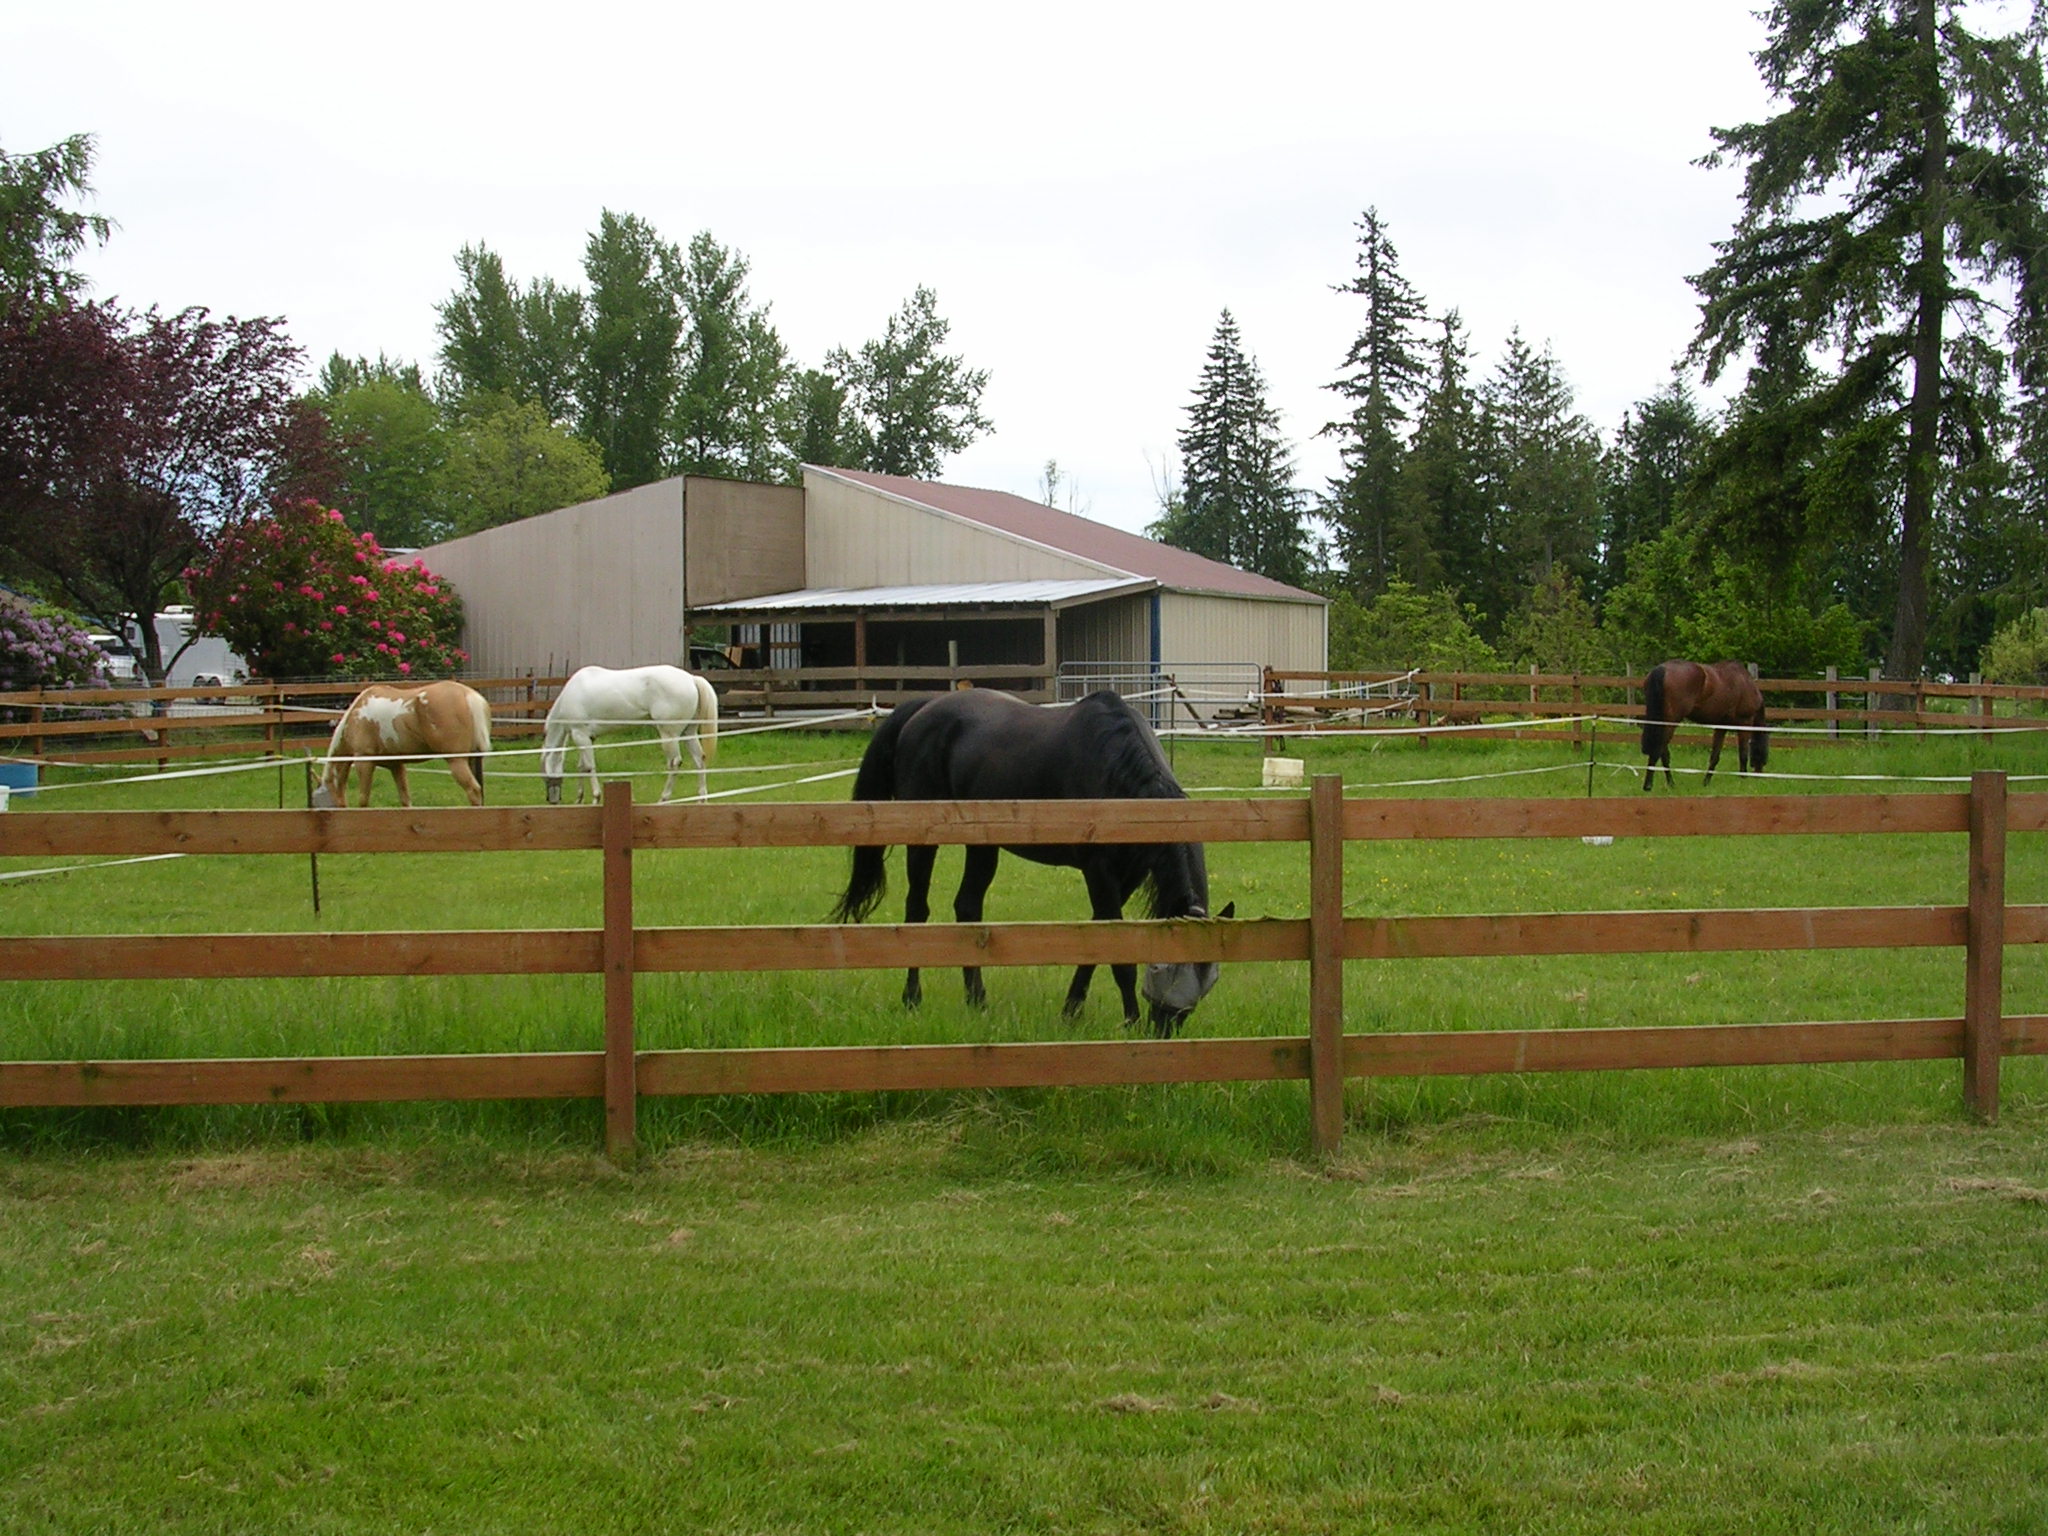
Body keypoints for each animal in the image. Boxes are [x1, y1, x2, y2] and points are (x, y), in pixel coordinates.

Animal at [311, 684, 495, 811]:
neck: (355, 716)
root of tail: (467, 695)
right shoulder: (396, 765)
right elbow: (405, 800)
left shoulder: (364, 762)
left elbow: (363, 800)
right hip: (473, 760)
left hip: (456, 761)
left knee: (473, 790)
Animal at [536, 663, 720, 806]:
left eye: (544, 776)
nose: (552, 800)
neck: (571, 695)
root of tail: (691, 679)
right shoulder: (588, 737)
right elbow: (581, 767)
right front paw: (579, 798)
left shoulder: (580, 735)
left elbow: (589, 767)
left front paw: (596, 797)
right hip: (689, 733)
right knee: (699, 759)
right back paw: (702, 799)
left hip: (669, 734)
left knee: (674, 763)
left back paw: (663, 799)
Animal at [819, 692, 1228, 1040]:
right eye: (1168, 970)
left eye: (1208, 982)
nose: (1164, 1031)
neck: (1118, 775)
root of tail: (924, 708)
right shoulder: (1098, 872)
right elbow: (1116, 954)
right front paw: (1128, 1022)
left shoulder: (1125, 877)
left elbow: (1095, 940)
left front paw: (1070, 1012)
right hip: (923, 841)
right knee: (917, 910)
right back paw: (912, 999)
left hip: (982, 846)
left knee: (968, 908)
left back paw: (978, 1002)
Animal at [1638, 659, 1769, 794]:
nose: (1759, 776)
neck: (1745, 682)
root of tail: (1661, 669)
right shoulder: (1745, 722)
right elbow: (1743, 754)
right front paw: (1743, 779)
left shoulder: (1721, 726)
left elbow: (1715, 756)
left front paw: (1706, 781)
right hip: (1670, 723)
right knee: (1658, 751)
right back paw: (1649, 785)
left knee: (1663, 752)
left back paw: (1670, 783)